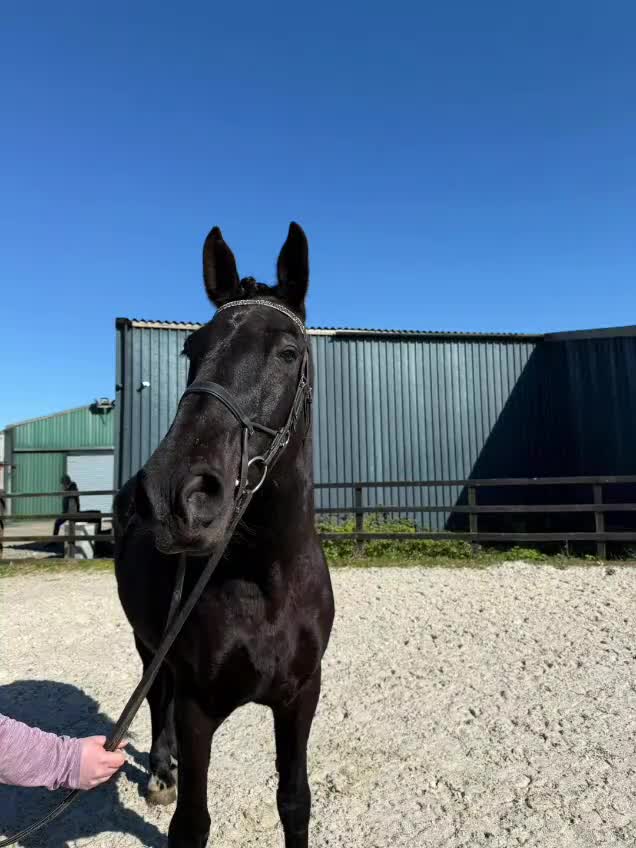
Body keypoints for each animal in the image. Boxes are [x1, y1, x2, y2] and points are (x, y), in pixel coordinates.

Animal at [114, 222, 335, 848]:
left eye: (288, 352)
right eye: (191, 350)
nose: (174, 495)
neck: (266, 583)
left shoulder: (300, 697)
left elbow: (294, 801)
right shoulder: (198, 708)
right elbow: (193, 821)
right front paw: (171, 780)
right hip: (148, 641)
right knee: (153, 690)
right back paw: (161, 771)